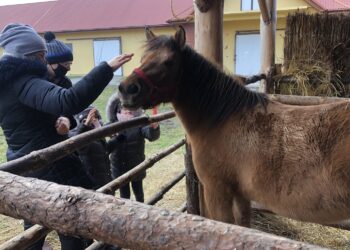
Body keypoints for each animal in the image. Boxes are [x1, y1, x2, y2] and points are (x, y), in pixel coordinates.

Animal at [119, 26, 350, 228]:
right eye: (142, 59)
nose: (127, 90)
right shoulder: (240, 195)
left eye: (168, 61)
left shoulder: (217, 191)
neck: (221, 119)